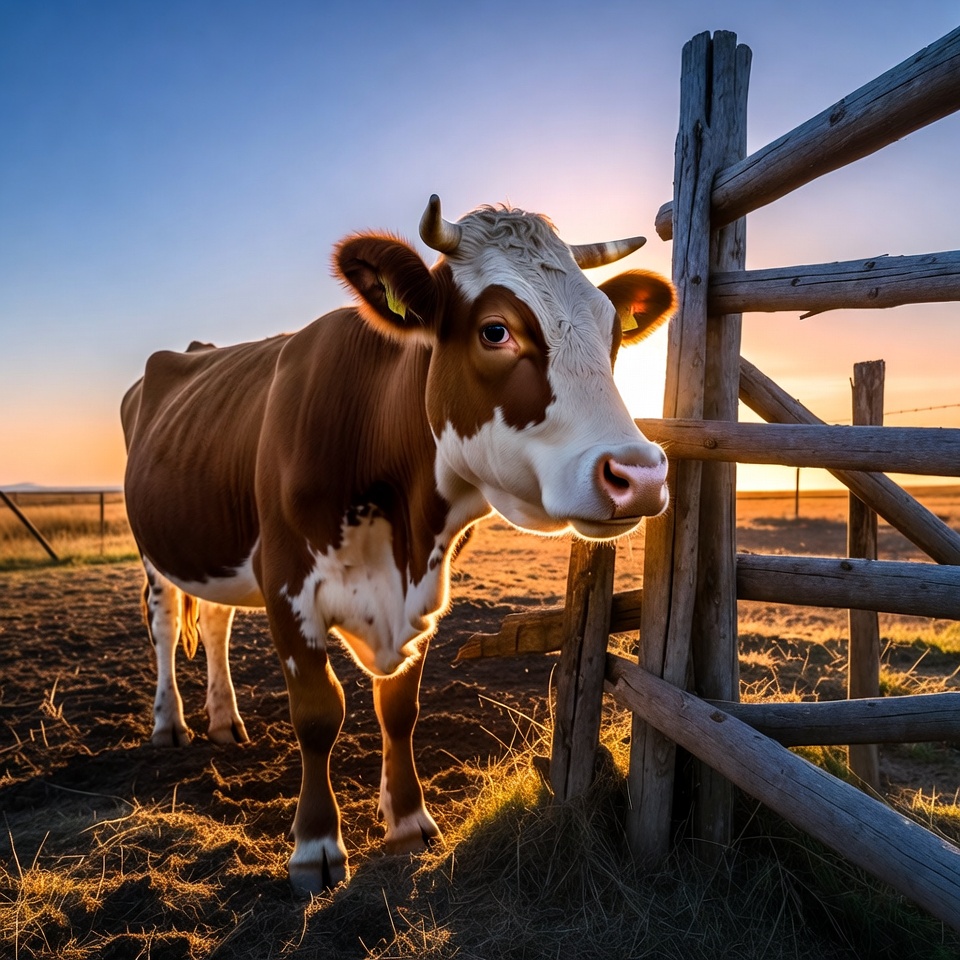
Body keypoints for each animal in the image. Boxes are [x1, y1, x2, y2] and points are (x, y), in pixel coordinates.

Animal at [121, 196, 675, 892]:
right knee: (166, 624)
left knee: (216, 621)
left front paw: (409, 821)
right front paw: (315, 846)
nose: (640, 475)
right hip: (154, 552)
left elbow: (399, 708)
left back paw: (225, 722)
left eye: (611, 332)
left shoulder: (424, 592)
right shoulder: (286, 581)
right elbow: (317, 713)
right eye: (496, 331)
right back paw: (170, 724)